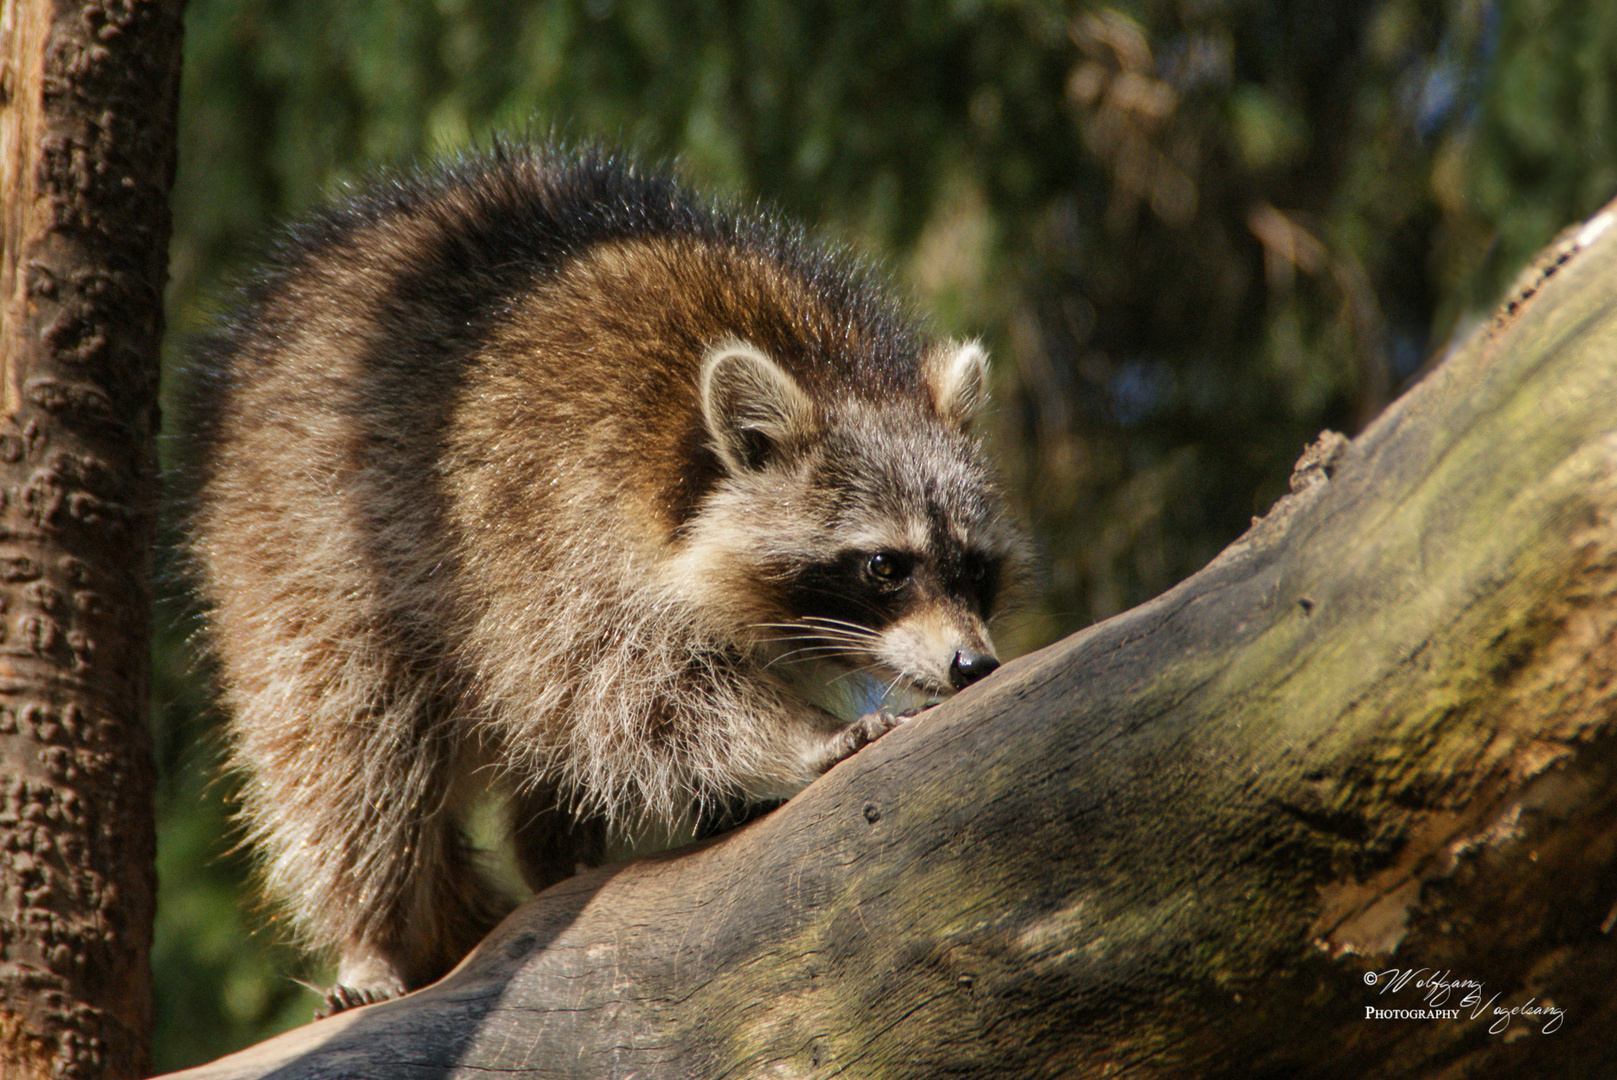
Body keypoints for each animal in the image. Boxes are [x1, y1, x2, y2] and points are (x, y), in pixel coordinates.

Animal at [180, 145, 1034, 1015]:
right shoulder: (557, 530)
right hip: (308, 544)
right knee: (348, 744)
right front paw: (801, 735)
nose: (973, 664)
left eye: (974, 567)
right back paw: (372, 928)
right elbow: (640, 694)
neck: (825, 361)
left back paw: (554, 853)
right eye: (885, 567)